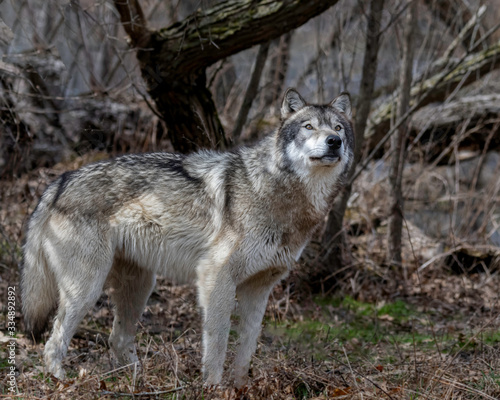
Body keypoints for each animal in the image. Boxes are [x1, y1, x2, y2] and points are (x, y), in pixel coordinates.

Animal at [20, 88, 356, 388]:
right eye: (309, 126)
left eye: (338, 128)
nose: (334, 141)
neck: (282, 195)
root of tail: (59, 181)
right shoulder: (215, 277)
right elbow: (217, 342)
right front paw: (213, 388)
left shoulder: (259, 289)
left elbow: (247, 348)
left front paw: (240, 388)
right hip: (87, 290)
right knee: (53, 342)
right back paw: (62, 381)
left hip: (140, 287)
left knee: (117, 339)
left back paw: (138, 383)